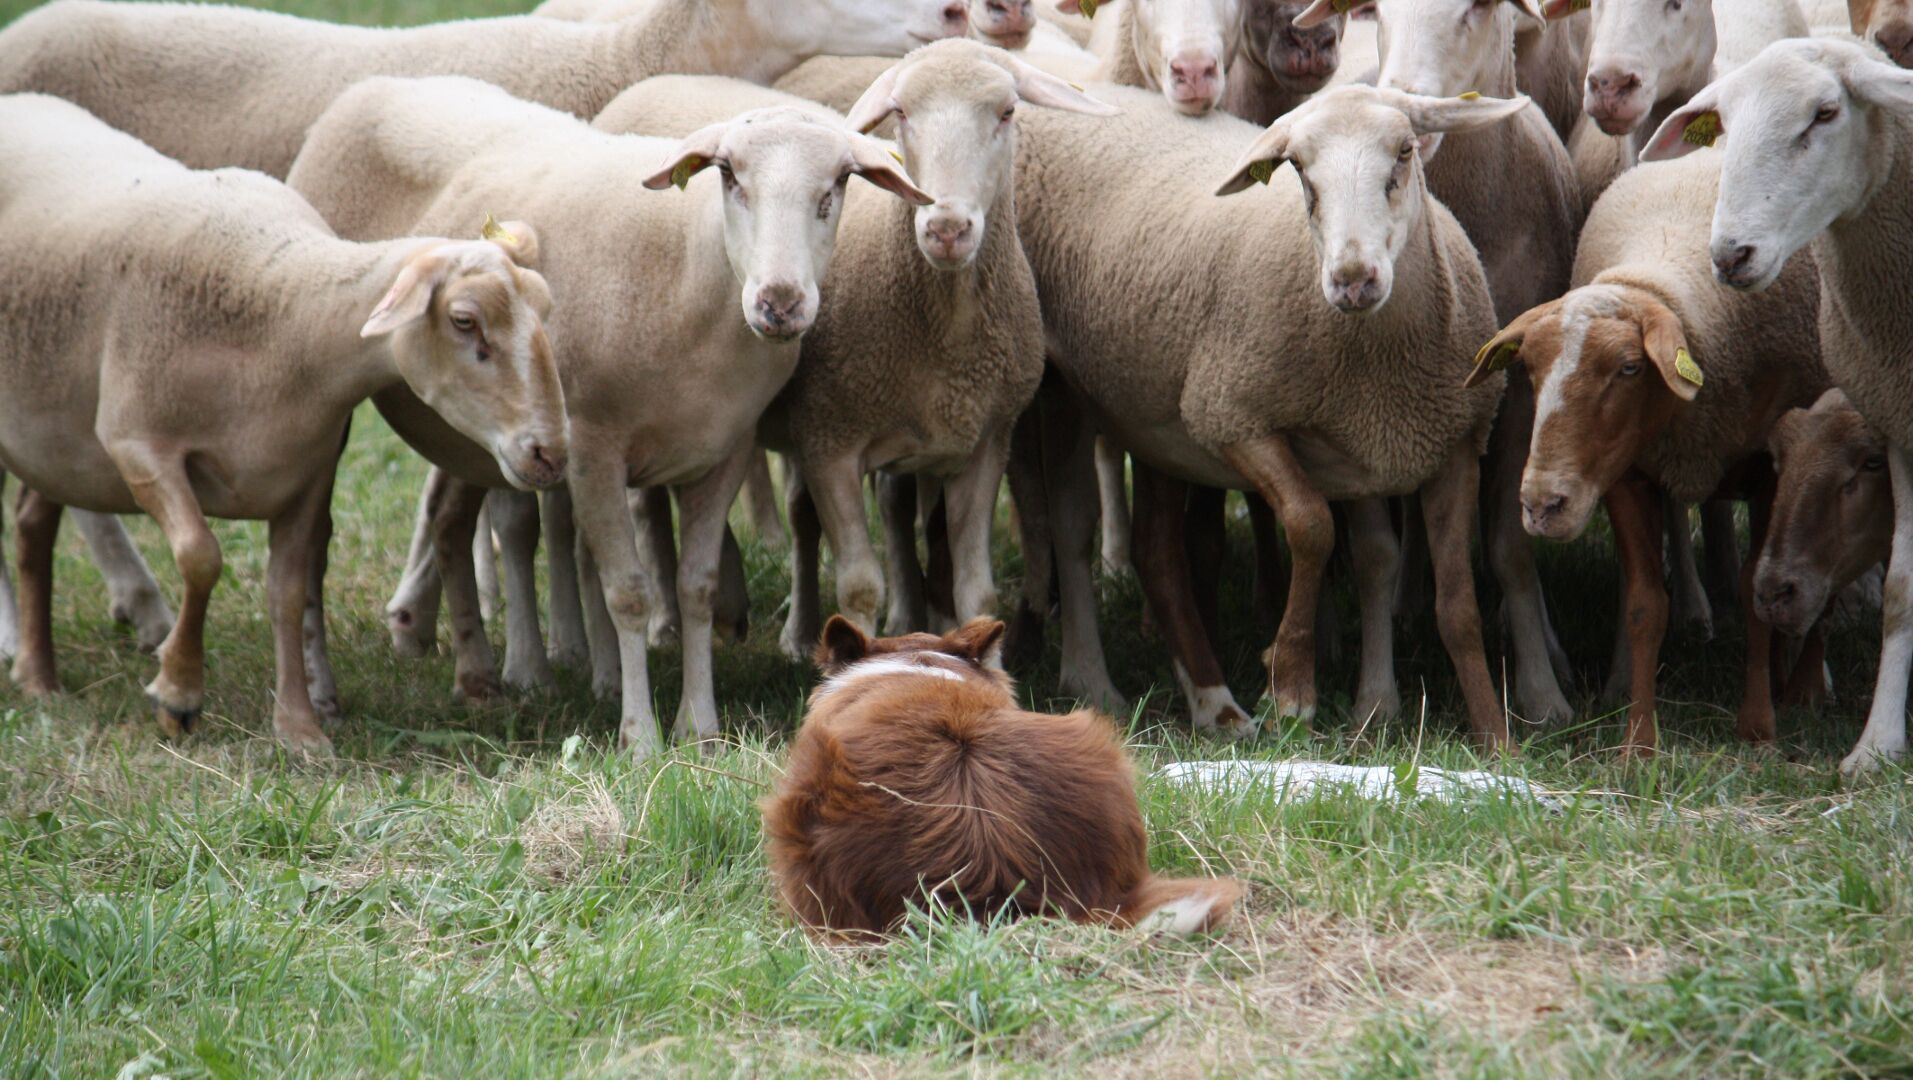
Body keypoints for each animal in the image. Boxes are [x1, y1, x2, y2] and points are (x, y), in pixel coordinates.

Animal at [0, 93, 568, 758]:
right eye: (463, 320)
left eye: (545, 309)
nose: (551, 454)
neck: (286, 318)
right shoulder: (138, 445)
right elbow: (200, 556)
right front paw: (178, 692)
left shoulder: (306, 474)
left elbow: (289, 592)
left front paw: (299, 727)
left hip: (55, 434)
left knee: (32, 521)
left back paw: (39, 673)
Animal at [287, 75, 932, 756]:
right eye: (730, 176)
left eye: (835, 187)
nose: (779, 303)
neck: (692, 276)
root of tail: (385, 82)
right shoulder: (593, 450)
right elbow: (627, 591)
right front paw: (640, 736)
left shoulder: (725, 450)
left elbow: (696, 586)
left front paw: (698, 726)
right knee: (321, 546)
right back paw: (338, 693)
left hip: (476, 425)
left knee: (451, 521)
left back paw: (479, 672)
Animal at [604, 43, 1118, 655]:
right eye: (901, 113)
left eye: (1008, 112)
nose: (946, 228)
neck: (946, 329)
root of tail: (652, 83)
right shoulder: (833, 441)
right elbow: (859, 587)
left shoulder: (983, 443)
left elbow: (977, 592)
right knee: (650, 505)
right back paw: (668, 623)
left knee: (795, 515)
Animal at [1463, 148, 1826, 756]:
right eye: (1529, 368)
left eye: (1630, 368)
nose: (1542, 505)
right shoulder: (1625, 474)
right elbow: (1644, 606)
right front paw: (1637, 744)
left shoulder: (1770, 469)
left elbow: (1755, 595)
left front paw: (1758, 727)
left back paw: (1799, 681)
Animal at [1640, 36, 1913, 773]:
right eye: (1724, 126)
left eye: (1825, 113)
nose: (1731, 255)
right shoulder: (1898, 421)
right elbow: (1902, 590)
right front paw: (1876, 747)